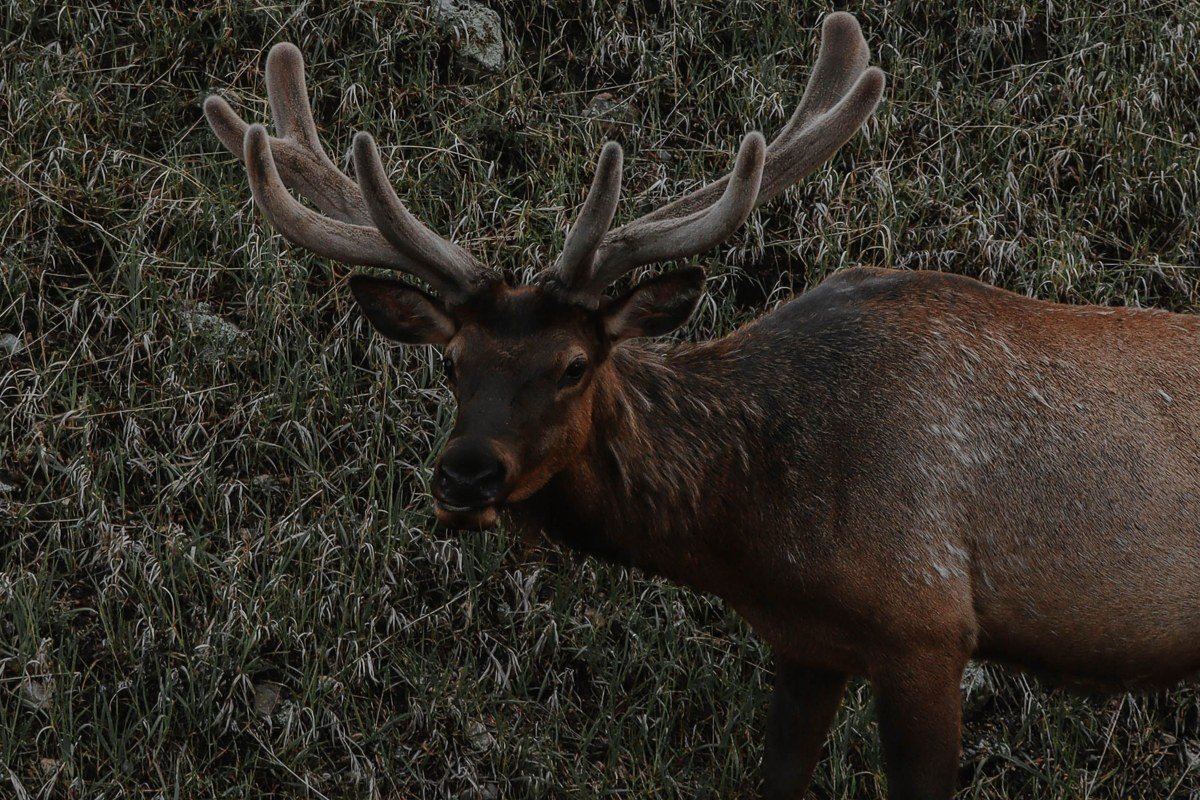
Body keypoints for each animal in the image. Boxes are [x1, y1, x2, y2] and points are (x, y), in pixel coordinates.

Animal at [203, 12, 1200, 799]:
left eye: (574, 364)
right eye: (452, 362)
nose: (464, 477)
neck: (761, 527)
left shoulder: (926, 622)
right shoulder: (807, 642)